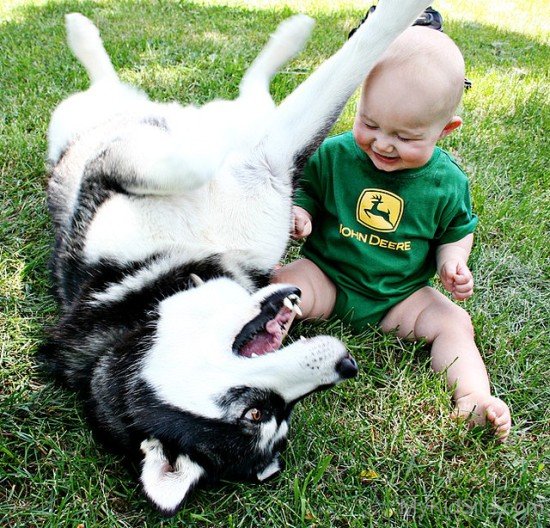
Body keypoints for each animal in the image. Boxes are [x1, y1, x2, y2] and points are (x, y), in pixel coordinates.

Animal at [40, 1, 432, 516]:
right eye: (261, 412)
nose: (346, 366)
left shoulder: (261, 167)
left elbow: (368, 44)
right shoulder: (262, 161)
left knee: (243, 89)